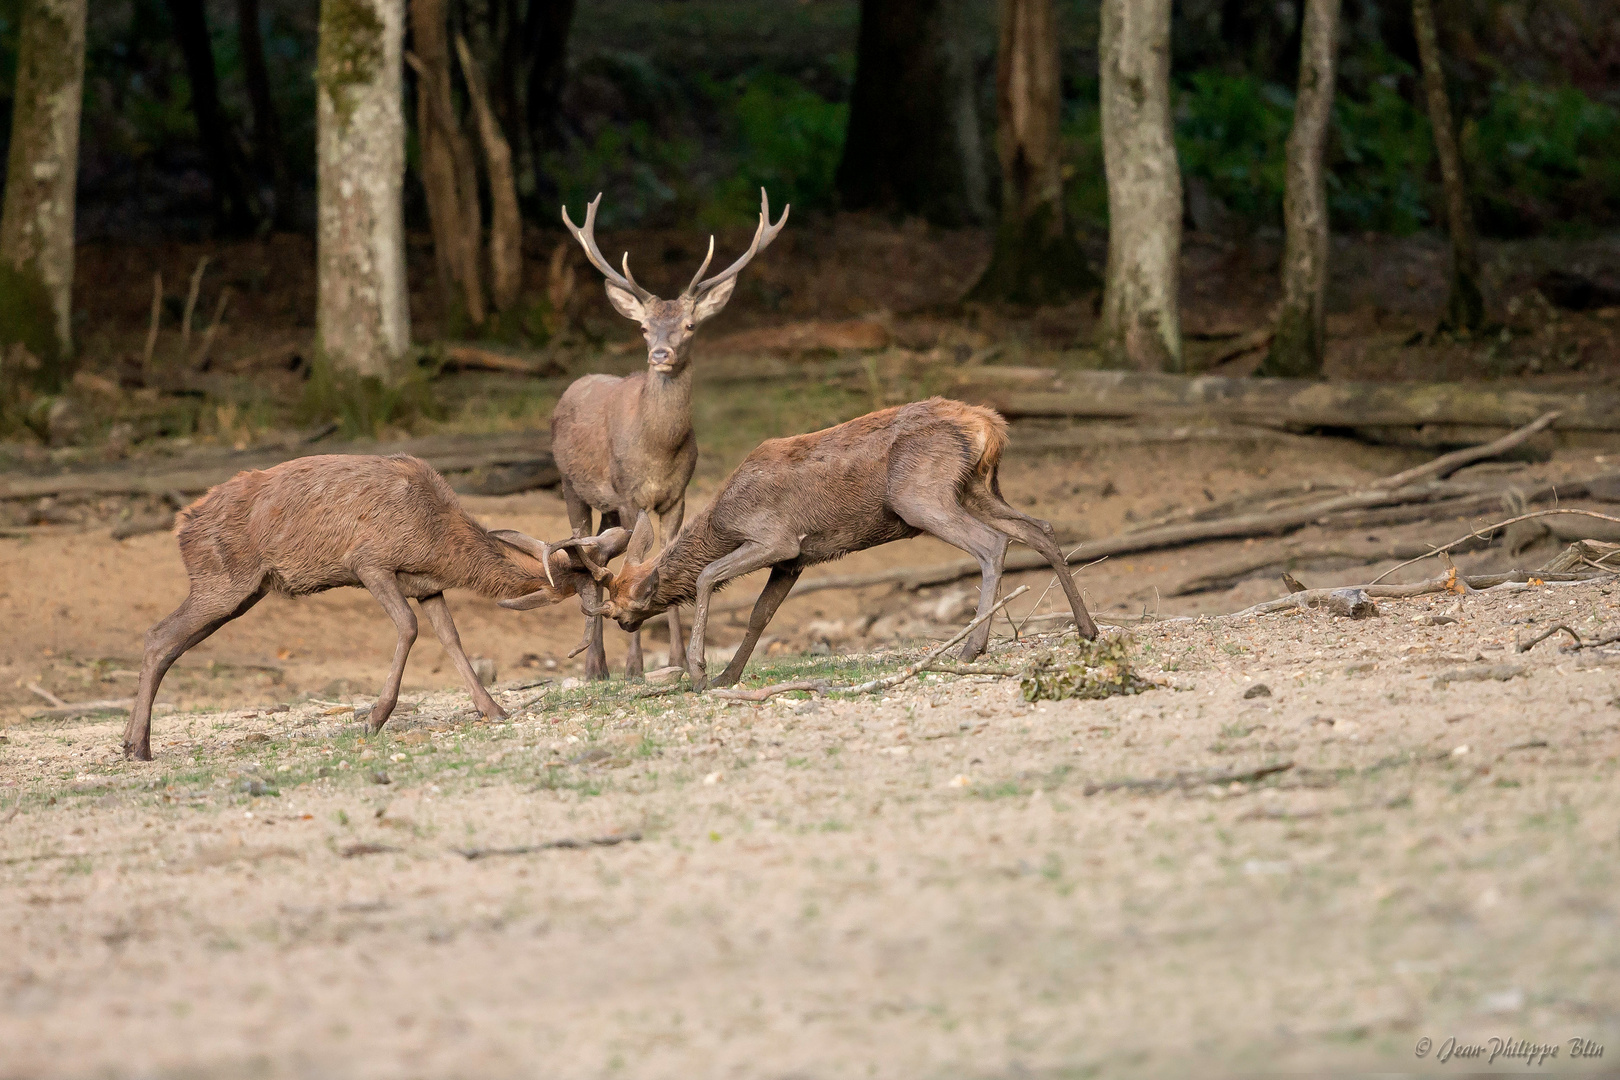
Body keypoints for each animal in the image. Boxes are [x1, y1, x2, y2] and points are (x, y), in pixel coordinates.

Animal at [118, 456, 625, 761]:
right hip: (223, 581)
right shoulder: (369, 561)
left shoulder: (427, 586)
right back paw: (138, 747)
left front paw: (494, 710)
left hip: (243, 591)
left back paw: (131, 742)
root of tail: (181, 525)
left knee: (165, 642)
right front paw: (375, 718)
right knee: (157, 635)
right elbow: (408, 627)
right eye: (583, 595)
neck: (436, 541)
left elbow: (451, 639)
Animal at [550, 189, 790, 680]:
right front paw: (635, 666)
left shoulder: (677, 495)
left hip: (606, 504)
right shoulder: (629, 493)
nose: (660, 353)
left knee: (597, 554)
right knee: (583, 551)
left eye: (690, 325)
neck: (658, 451)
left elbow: (659, 556)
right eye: (643, 327)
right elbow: (631, 561)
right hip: (571, 485)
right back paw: (595, 667)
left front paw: (677, 659)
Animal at [557, 396, 1101, 693]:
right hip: (980, 488)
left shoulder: (776, 538)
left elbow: (710, 574)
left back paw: (972, 646)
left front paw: (699, 672)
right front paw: (728, 676)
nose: (625, 622)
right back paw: (1088, 628)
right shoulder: (796, 560)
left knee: (991, 544)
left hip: (920, 494)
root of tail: (991, 426)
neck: (723, 519)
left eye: (619, 604)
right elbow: (760, 616)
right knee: (1042, 529)